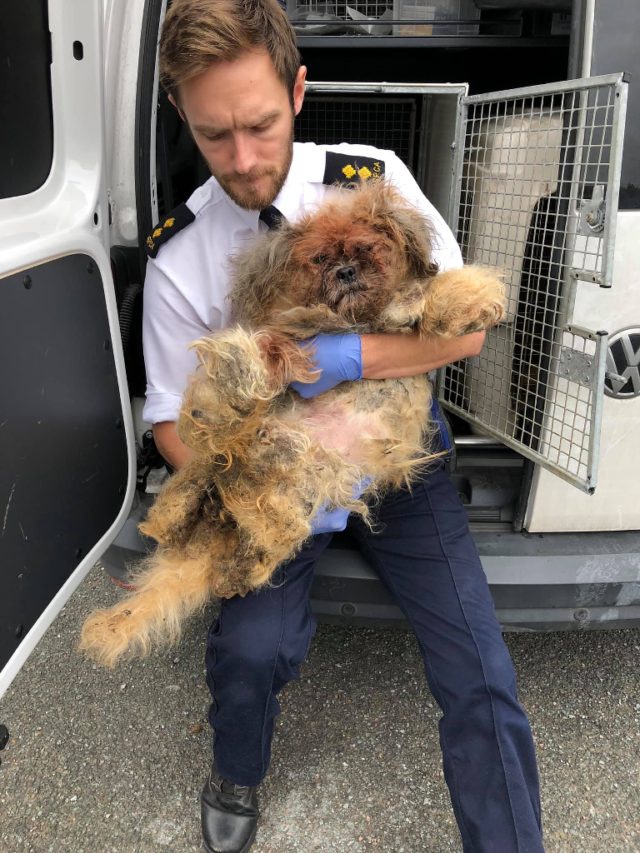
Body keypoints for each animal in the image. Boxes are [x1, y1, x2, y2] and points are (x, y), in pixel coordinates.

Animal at [80, 180, 502, 664]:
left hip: (298, 484)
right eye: (319, 259)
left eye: (368, 248)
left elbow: (430, 292)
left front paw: (471, 300)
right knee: (210, 462)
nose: (346, 271)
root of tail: (217, 524)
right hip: (248, 466)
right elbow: (293, 336)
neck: (358, 319)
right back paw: (231, 392)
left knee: (257, 527)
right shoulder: (296, 331)